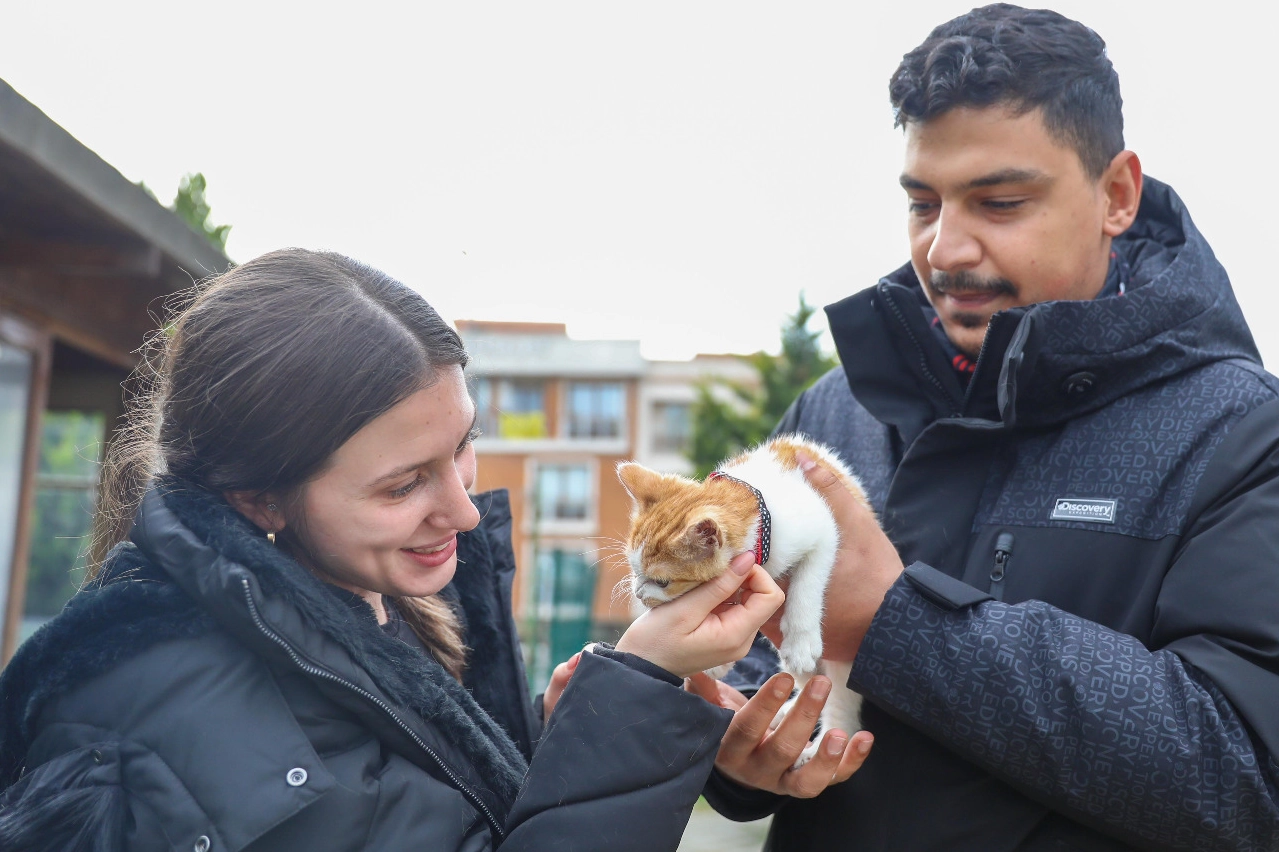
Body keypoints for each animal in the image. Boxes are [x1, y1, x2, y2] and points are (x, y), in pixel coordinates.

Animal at [616, 432, 874, 762]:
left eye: (662, 582)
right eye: (634, 568)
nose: (638, 592)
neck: (758, 508)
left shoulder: (825, 530)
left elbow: (808, 580)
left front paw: (801, 638)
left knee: (840, 698)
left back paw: (827, 740)